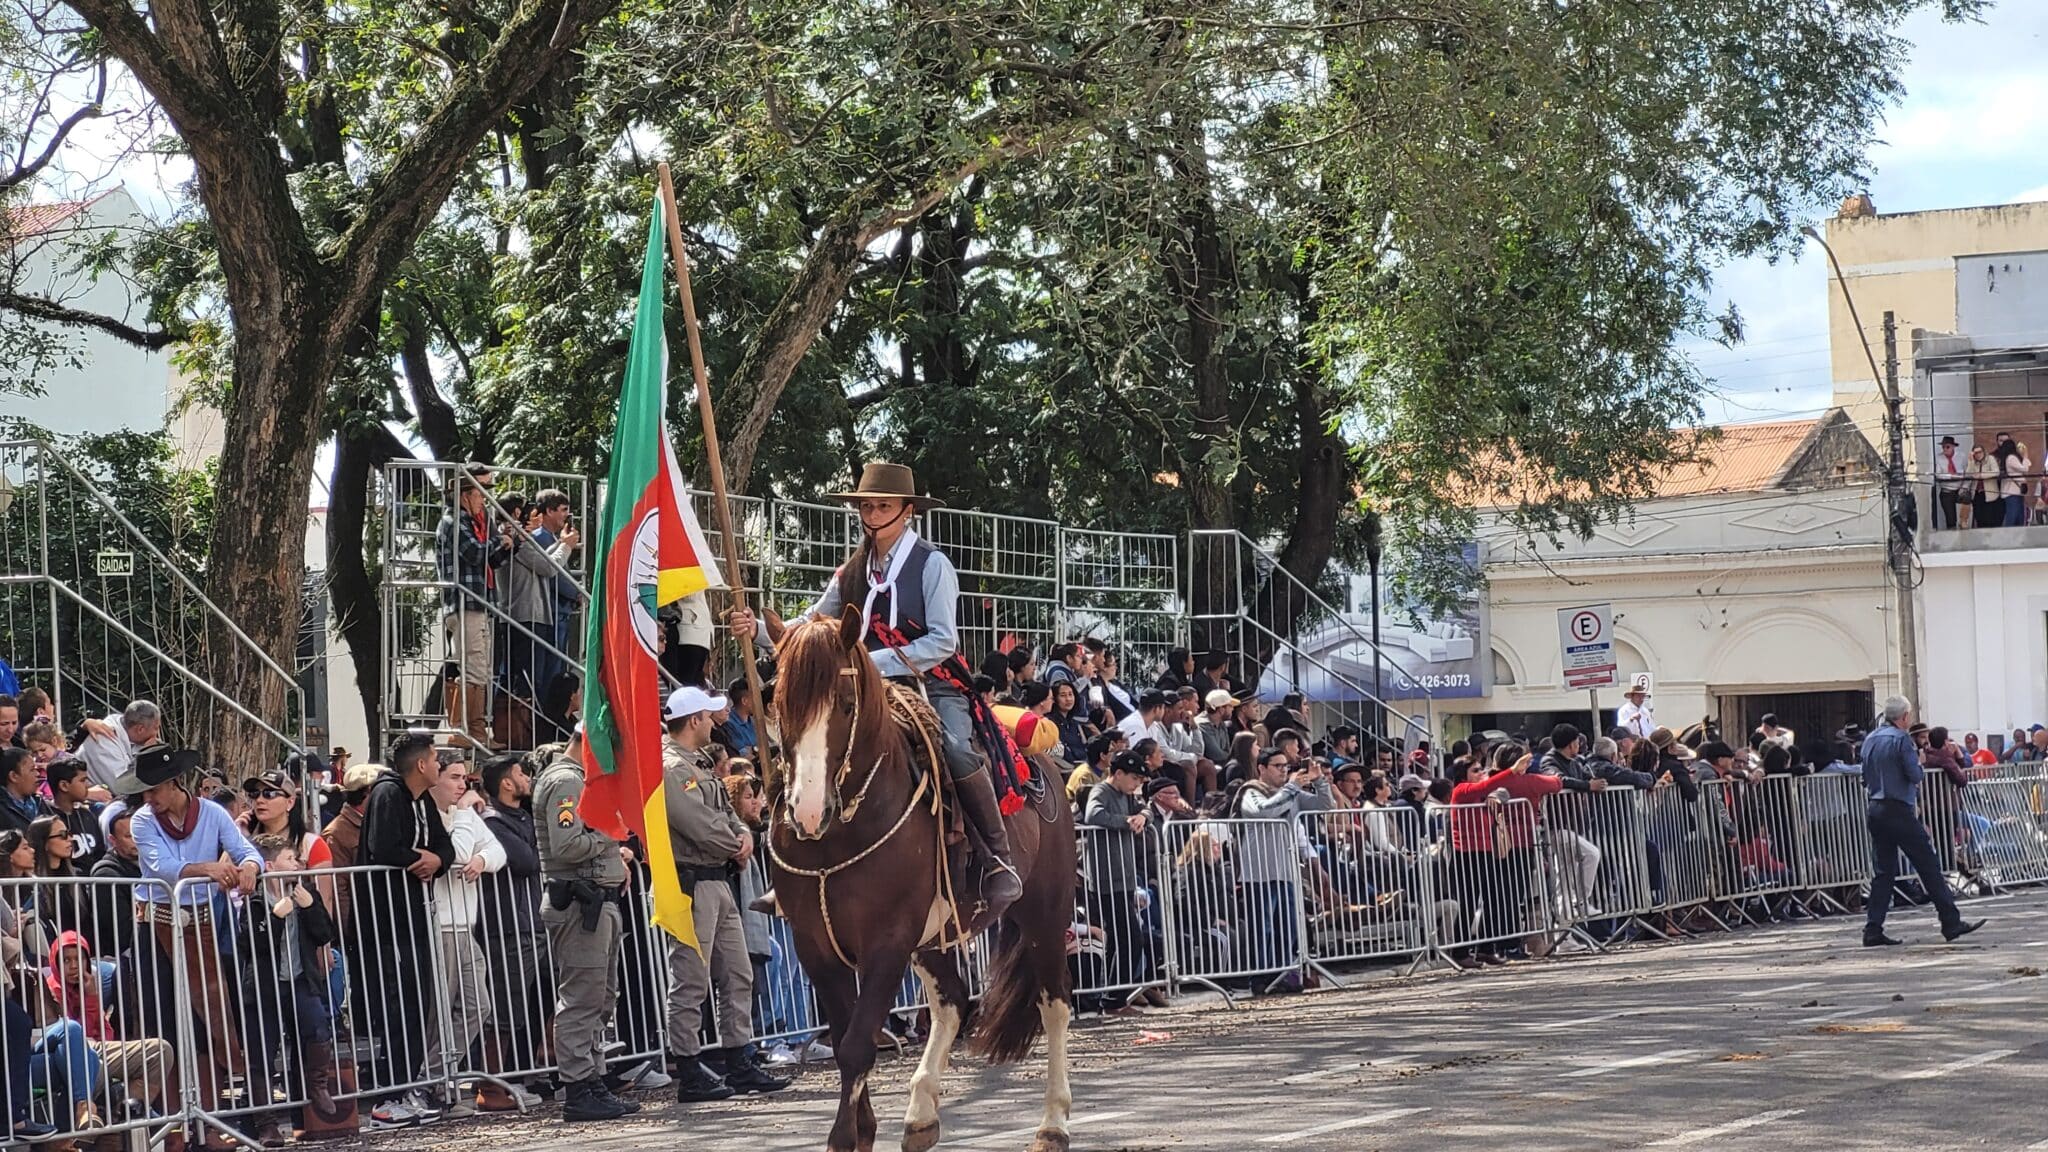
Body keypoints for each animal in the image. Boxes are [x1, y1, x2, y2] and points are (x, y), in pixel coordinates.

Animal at [768, 607, 1077, 1152]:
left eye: (846, 704)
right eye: (779, 702)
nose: (806, 811)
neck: (837, 836)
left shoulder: (887, 941)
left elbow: (856, 1045)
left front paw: (848, 1136)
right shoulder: (816, 946)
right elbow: (846, 1037)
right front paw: (865, 1130)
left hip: (1044, 912)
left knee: (1054, 1003)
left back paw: (1052, 1124)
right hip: (934, 934)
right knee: (953, 999)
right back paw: (920, 1115)